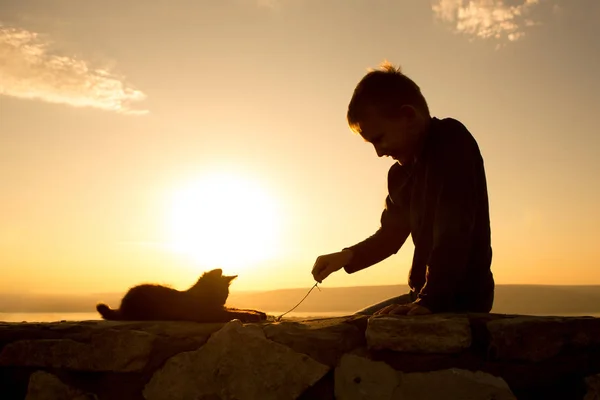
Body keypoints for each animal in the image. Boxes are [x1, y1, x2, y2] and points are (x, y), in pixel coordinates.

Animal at [95, 268, 268, 324]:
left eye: (226, 294)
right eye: (220, 292)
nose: (223, 300)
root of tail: (122, 307)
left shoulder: (220, 308)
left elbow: (237, 308)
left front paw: (260, 312)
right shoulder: (211, 313)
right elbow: (236, 312)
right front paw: (254, 316)